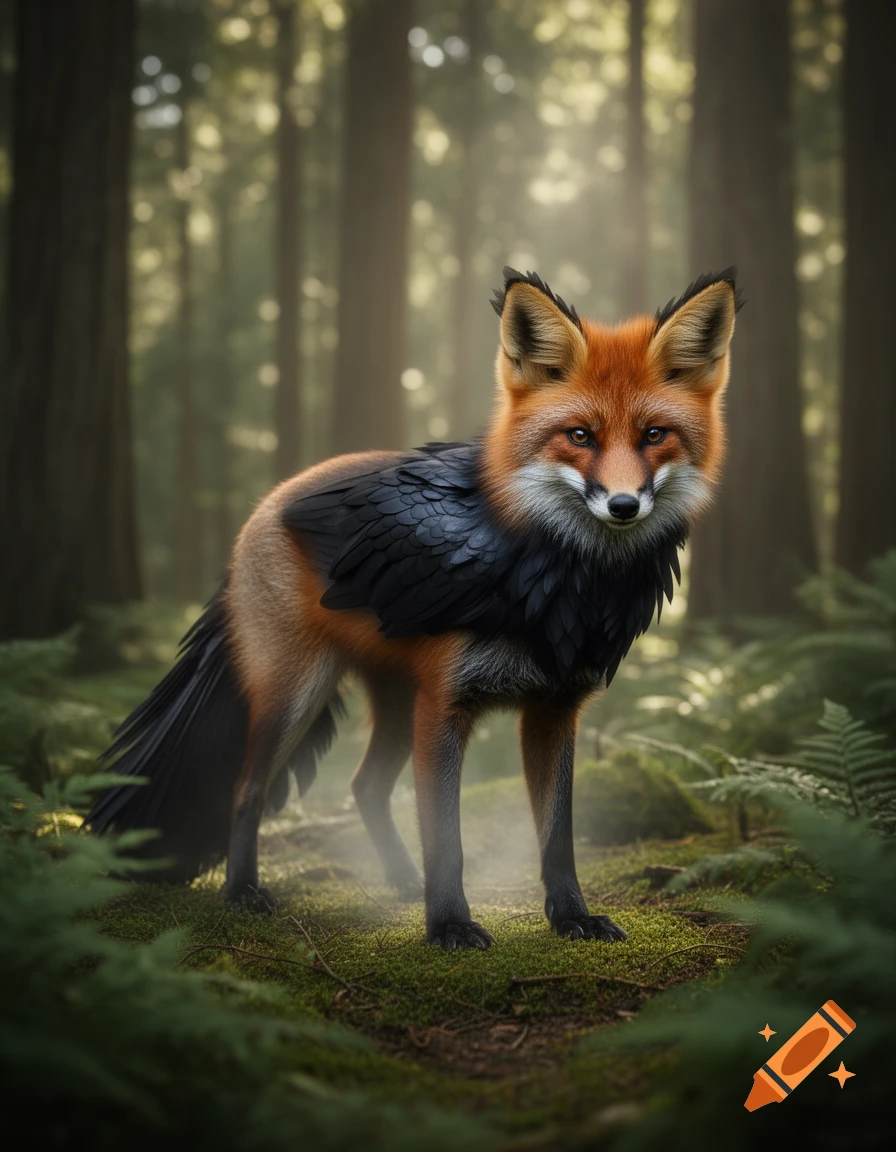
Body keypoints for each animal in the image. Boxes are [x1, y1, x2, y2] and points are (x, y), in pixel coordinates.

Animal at [88, 266, 739, 951]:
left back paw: (399, 881)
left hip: (397, 701)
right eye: (579, 436)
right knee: (248, 788)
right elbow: (447, 840)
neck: (559, 579)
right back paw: (243, 892)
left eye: (653, 435)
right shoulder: (446, 704)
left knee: (365, 786)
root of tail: (267, 507)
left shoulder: (554, 708)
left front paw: (571, 918)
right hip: (298, 694)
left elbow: (557, 839)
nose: (622, 505)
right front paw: (449, 923)